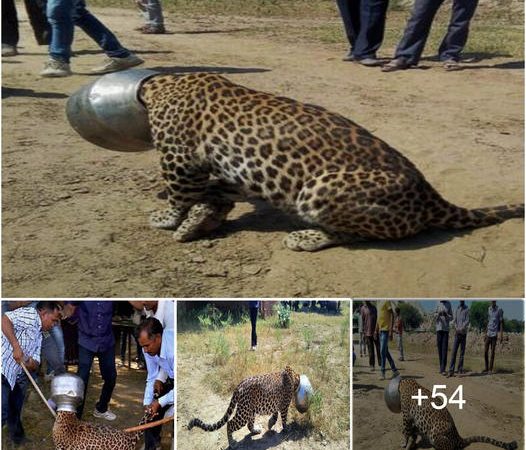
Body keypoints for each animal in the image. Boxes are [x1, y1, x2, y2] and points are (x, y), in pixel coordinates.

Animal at [138, 72, 524, 251]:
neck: (160, 84)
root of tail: (431, 195)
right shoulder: (235, 170)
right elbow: (217, 191)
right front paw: (201, 218)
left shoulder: (179, 158)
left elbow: (178, 194)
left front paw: (168, 218)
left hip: (319, 187)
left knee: (354, 234)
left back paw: (305, 237)